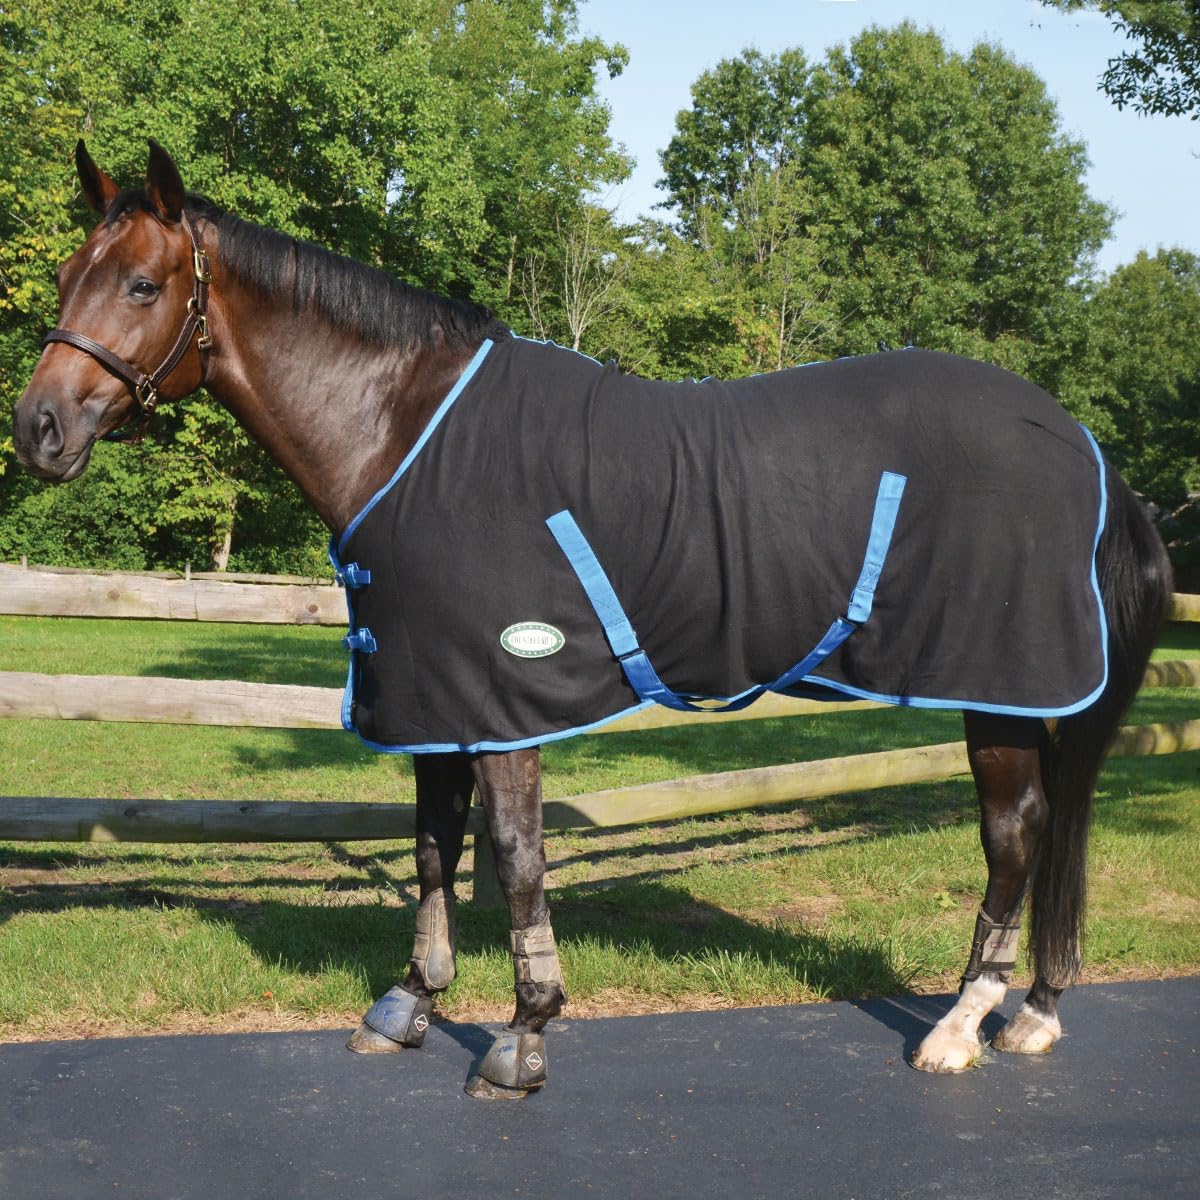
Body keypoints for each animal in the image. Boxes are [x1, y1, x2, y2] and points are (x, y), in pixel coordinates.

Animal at [14, 142, 1172, 1098]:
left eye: (143, 283)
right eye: (66, 277)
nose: (39, 428)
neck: (405, 431)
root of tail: (1081, 442)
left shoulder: (501, 699)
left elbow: (518, 858)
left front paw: (524, 1040)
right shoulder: (434, 693)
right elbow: (432, 849)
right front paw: (410, 1007)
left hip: (999, 691)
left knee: (1016, 835)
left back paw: (961, 1027)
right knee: (1051, 826)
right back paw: (1032, 1013)